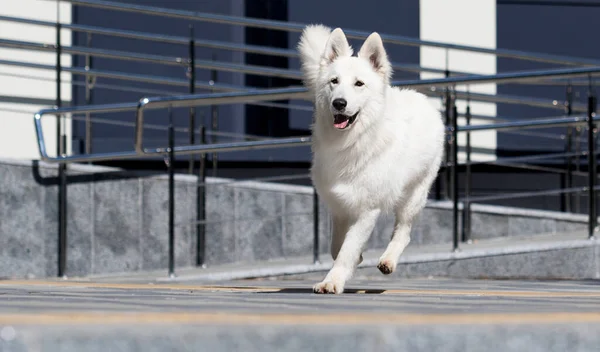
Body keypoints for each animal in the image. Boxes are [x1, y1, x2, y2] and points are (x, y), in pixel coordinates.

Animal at [298, 25, 446, 294]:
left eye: (359, 84)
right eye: (334, 82)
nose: (339, 103)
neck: (353, 141)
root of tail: (422, 100)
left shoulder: (367, 210)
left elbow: (346, 249)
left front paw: (333, 281)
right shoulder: (339, 205)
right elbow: (338, 246)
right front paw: (353, 260)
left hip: (414, 195)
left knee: (404, 231)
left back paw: (389, 260)